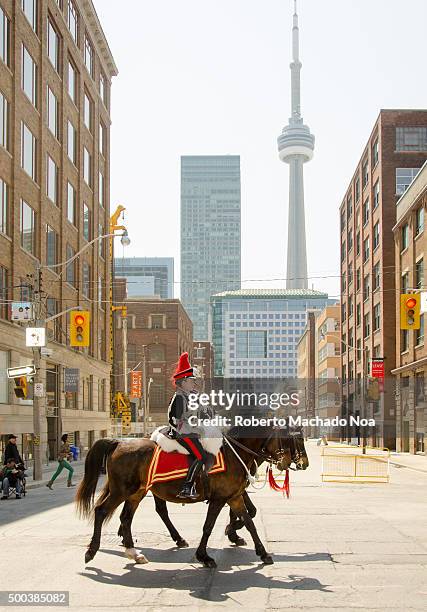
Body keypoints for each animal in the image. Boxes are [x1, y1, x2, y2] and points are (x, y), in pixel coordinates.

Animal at [77, 426, 310, 568]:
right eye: (295, 438)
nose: (302, 463)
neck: (234, 453)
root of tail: (119, 442)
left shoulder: (234, 496)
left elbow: (250, 521)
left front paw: (261, 552)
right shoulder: (220, 499)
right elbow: (209, 526)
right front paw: (205, 555)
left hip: (137, 492)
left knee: (127, 517)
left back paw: (134, 552)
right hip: (122, 491)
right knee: (102, 510)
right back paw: (92, 551)